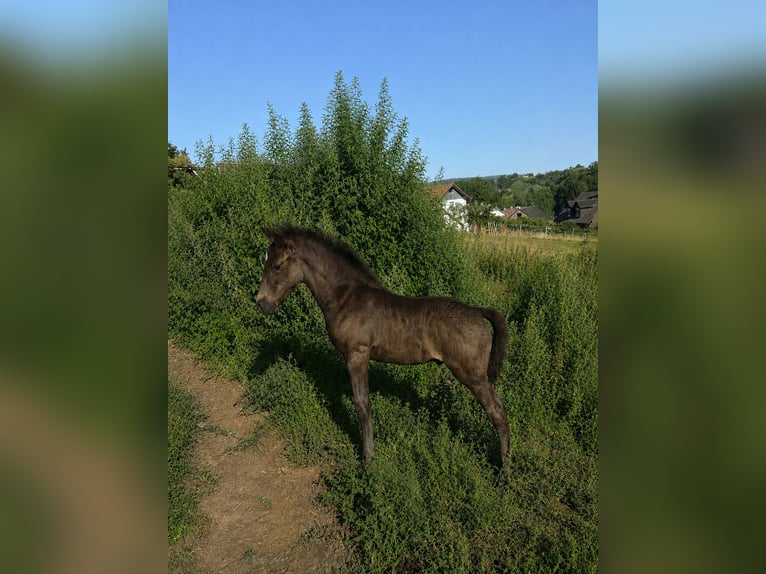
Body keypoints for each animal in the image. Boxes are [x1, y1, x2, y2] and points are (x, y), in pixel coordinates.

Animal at [255, 225, 510, 466]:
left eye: (276, 265)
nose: (261, 303)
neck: (345, 298)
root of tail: (477, 311)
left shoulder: (357, 354)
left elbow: (362, 405)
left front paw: (367, 459)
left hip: (471, 374)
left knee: (497, 411)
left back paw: (505, 468)